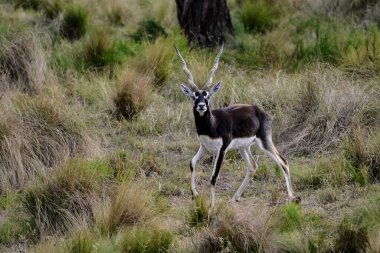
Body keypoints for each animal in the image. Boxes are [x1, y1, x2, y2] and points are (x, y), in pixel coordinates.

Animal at [175, 45, 300, 211]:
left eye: (207, 96)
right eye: (195, 96)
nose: (201, 106)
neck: (212, 125)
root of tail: (258, 110)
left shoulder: (222, 150)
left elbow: (213, 177)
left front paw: (210, 207)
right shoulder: (204, 146)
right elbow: (192, 162)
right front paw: (195, 193)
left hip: (264, 142)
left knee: (283, 162)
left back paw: (292, 197)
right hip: (243, 147)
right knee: (253, 166)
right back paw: (235, 197)